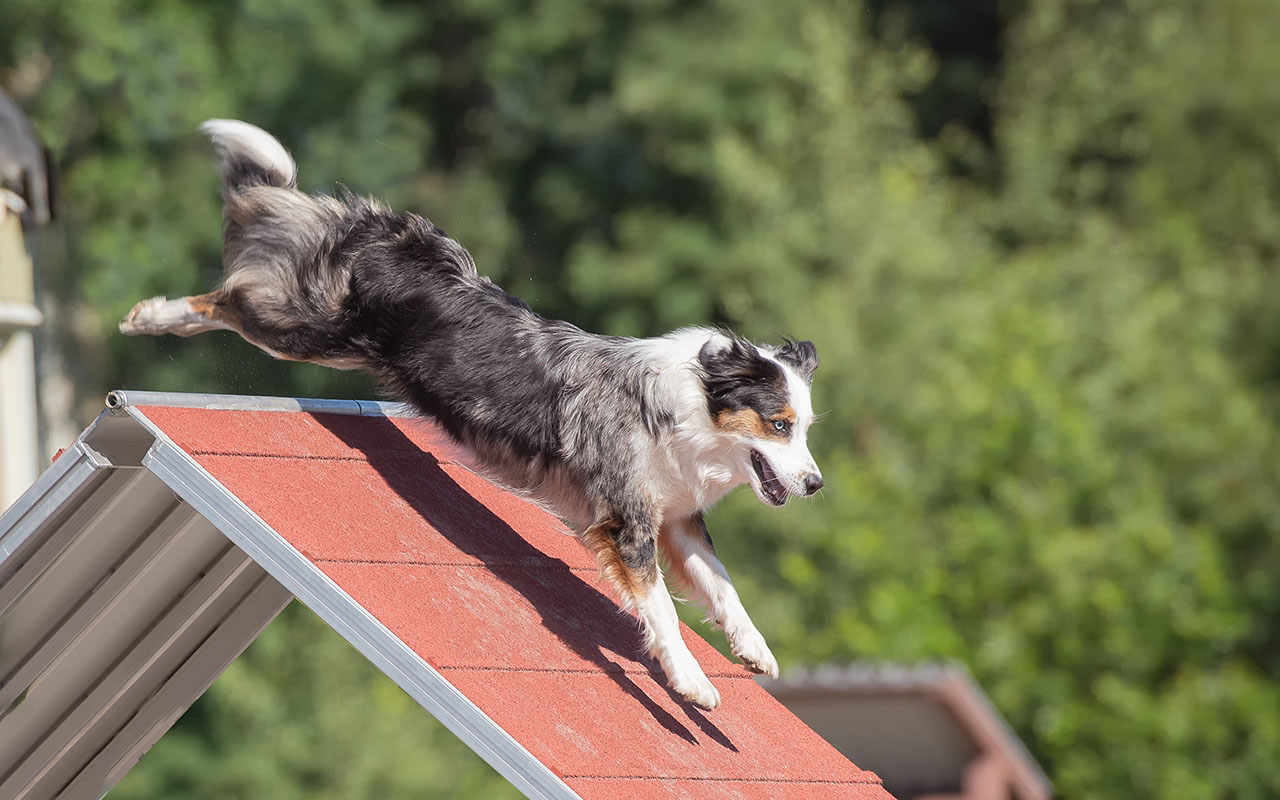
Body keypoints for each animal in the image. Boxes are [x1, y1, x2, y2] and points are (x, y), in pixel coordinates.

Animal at [120, 117, 819, 706]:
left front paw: (754, 650)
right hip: (306, 328)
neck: (688, 410)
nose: (815, 483)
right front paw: (692, 682)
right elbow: (665, 610)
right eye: (779, 424)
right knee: (227, 297)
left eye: (806, 428)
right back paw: (149, 315)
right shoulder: (626, 521)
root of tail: (388, 232)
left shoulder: (676, 518)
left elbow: (724, 586)